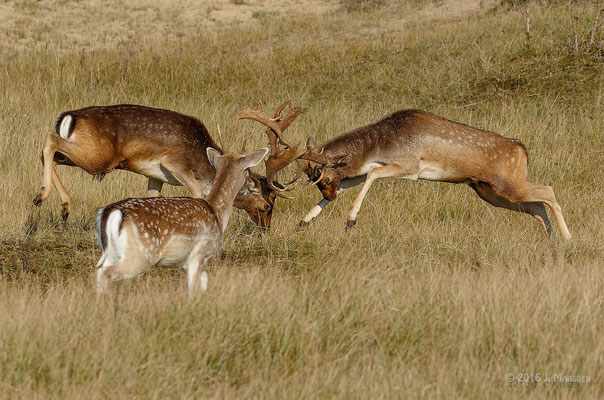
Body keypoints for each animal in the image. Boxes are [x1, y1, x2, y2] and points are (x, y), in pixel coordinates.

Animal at [33, 103, 302, 228]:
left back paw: (63, 207)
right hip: (97, 157)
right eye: (267, 205)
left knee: (49, 155)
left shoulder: (156, 176)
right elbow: (197, 193)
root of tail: (69, 117)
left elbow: (151, 197)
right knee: (49, 141)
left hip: (83, 155)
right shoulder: (174, 164)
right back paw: (42, 196)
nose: (266, 229)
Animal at [95, 147, 268, 294]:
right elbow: (194, 289)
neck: (217, 213)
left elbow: (203, 282)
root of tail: (111, 212)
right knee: (106, 273)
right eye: (247, 171)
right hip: (142, 252)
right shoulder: (198, 255)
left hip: (111, 252)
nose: (250, 187)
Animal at [298, 108, 572, 241]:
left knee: (548, 191)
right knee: (537, 207)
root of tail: (522, 150)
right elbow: (355, 180)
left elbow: (372, 174)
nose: (330, 196)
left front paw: (350, 220)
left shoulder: (410, 166)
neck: (381, 143)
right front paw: (304, 221)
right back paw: (552, 241)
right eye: (316, 181)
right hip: (490, 192)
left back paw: (568, 238)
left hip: (508, 184)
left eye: (324, 178)